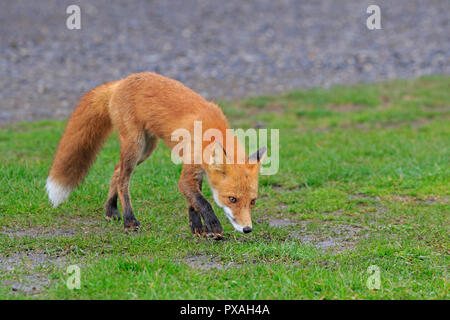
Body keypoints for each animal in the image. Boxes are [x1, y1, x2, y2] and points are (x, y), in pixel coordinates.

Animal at [46, 72, 264, 238]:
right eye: (232, 199)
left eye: (253, 201)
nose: (247, 229)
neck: (210, 132)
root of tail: (121, 82)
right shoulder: (189, 171)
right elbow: (202, 201)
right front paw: (212, 225)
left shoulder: (197, 173)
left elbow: (193, 201)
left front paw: (197, 228)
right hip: (135, 145)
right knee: (123, 180)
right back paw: (129, 220)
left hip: (146, 149)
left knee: (116, 171)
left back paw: (111, 210)